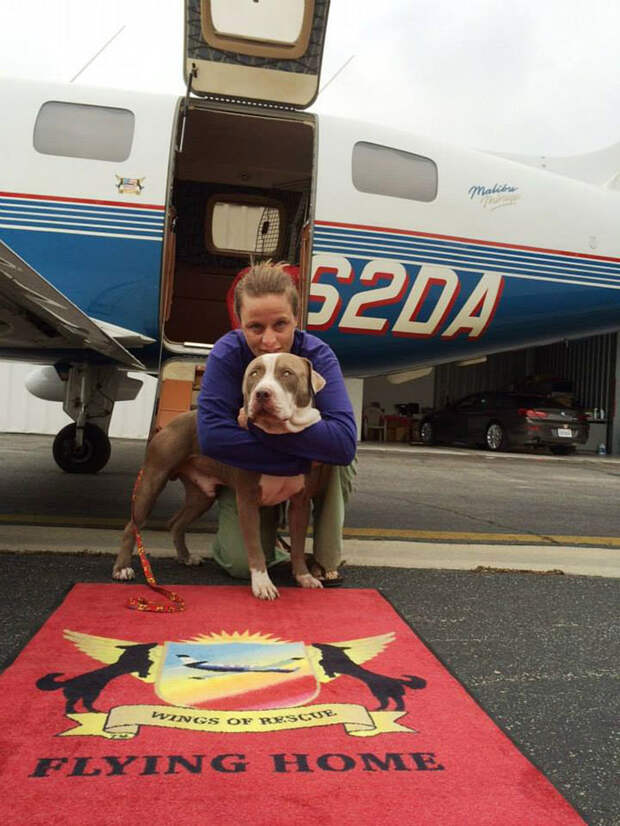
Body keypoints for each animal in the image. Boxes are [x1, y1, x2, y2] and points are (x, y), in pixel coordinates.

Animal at [113, 352, 332, 600]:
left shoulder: (300, 504)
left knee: (176, 522)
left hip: (201, 496)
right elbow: (254, 547)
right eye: (254, 373)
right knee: (132, 525)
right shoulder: (247, 500)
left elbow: (298, 545)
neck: (279, 439)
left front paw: (304, 576)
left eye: (287, 373)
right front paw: (262, 584)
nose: (262, 393)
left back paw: (186, 557)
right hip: (152, 480)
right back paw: (122, 568)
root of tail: (174, 422)